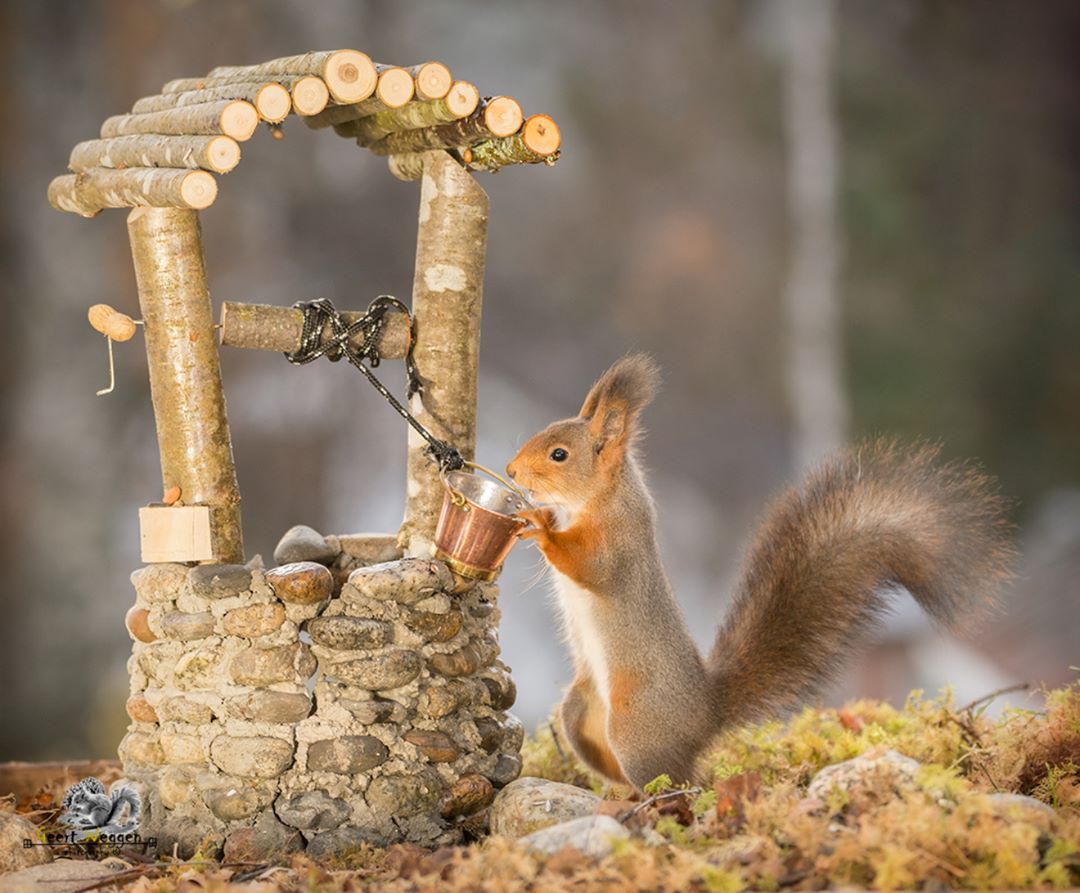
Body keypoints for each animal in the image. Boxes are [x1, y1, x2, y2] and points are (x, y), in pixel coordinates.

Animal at [505, 356, 1010, 790]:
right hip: (580, 711)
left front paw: (540, 528)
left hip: (637, 730)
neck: (599, 499)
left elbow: (588, 566)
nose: (510, 470)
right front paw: (538, 517)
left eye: (558, 455)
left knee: (681, 783)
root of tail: (705, 713)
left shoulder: (618, 546)